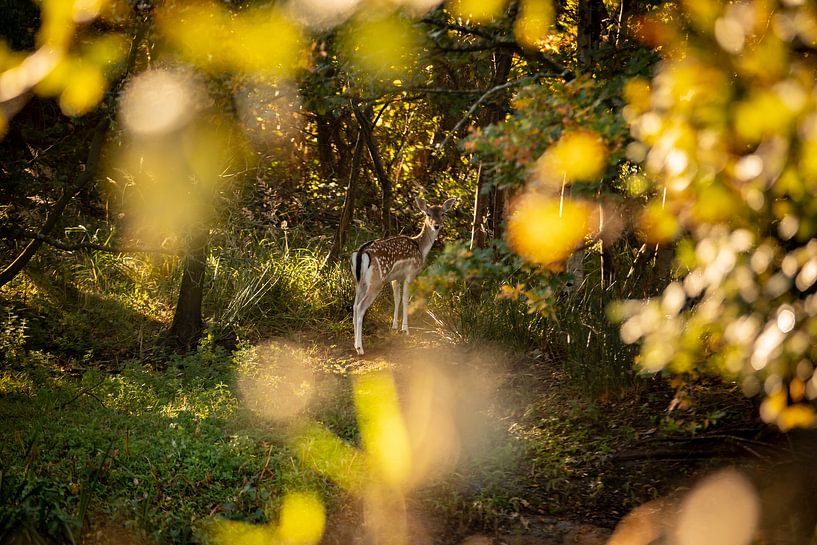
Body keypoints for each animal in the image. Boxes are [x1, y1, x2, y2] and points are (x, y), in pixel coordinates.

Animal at [350, 196, 456, 355]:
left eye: (443, 214)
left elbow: (397, 299)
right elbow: (406, 299)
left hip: (360, 282)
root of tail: (361, 252)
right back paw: (360, 348)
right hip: (377, 281)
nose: (436, 226)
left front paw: (394, 327)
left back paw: (355, 343)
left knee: (355, 305)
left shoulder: (395, 278)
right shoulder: (410, 273)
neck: (420, 248)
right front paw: (405, 329)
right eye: (428, 214)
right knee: (361, 307)